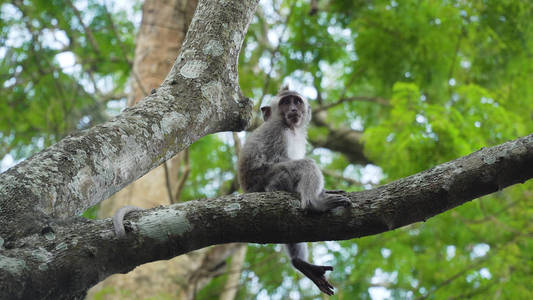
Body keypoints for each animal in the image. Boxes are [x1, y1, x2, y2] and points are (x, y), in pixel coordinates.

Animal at [237, 87, 350, 296]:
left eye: (296, 101)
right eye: (285, 102)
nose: (292, 109)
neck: (291, 128)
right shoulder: (277, 132)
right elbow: (277, 158)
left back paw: (299, 262)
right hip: (273, 181)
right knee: (305, 165)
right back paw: (315, 203)